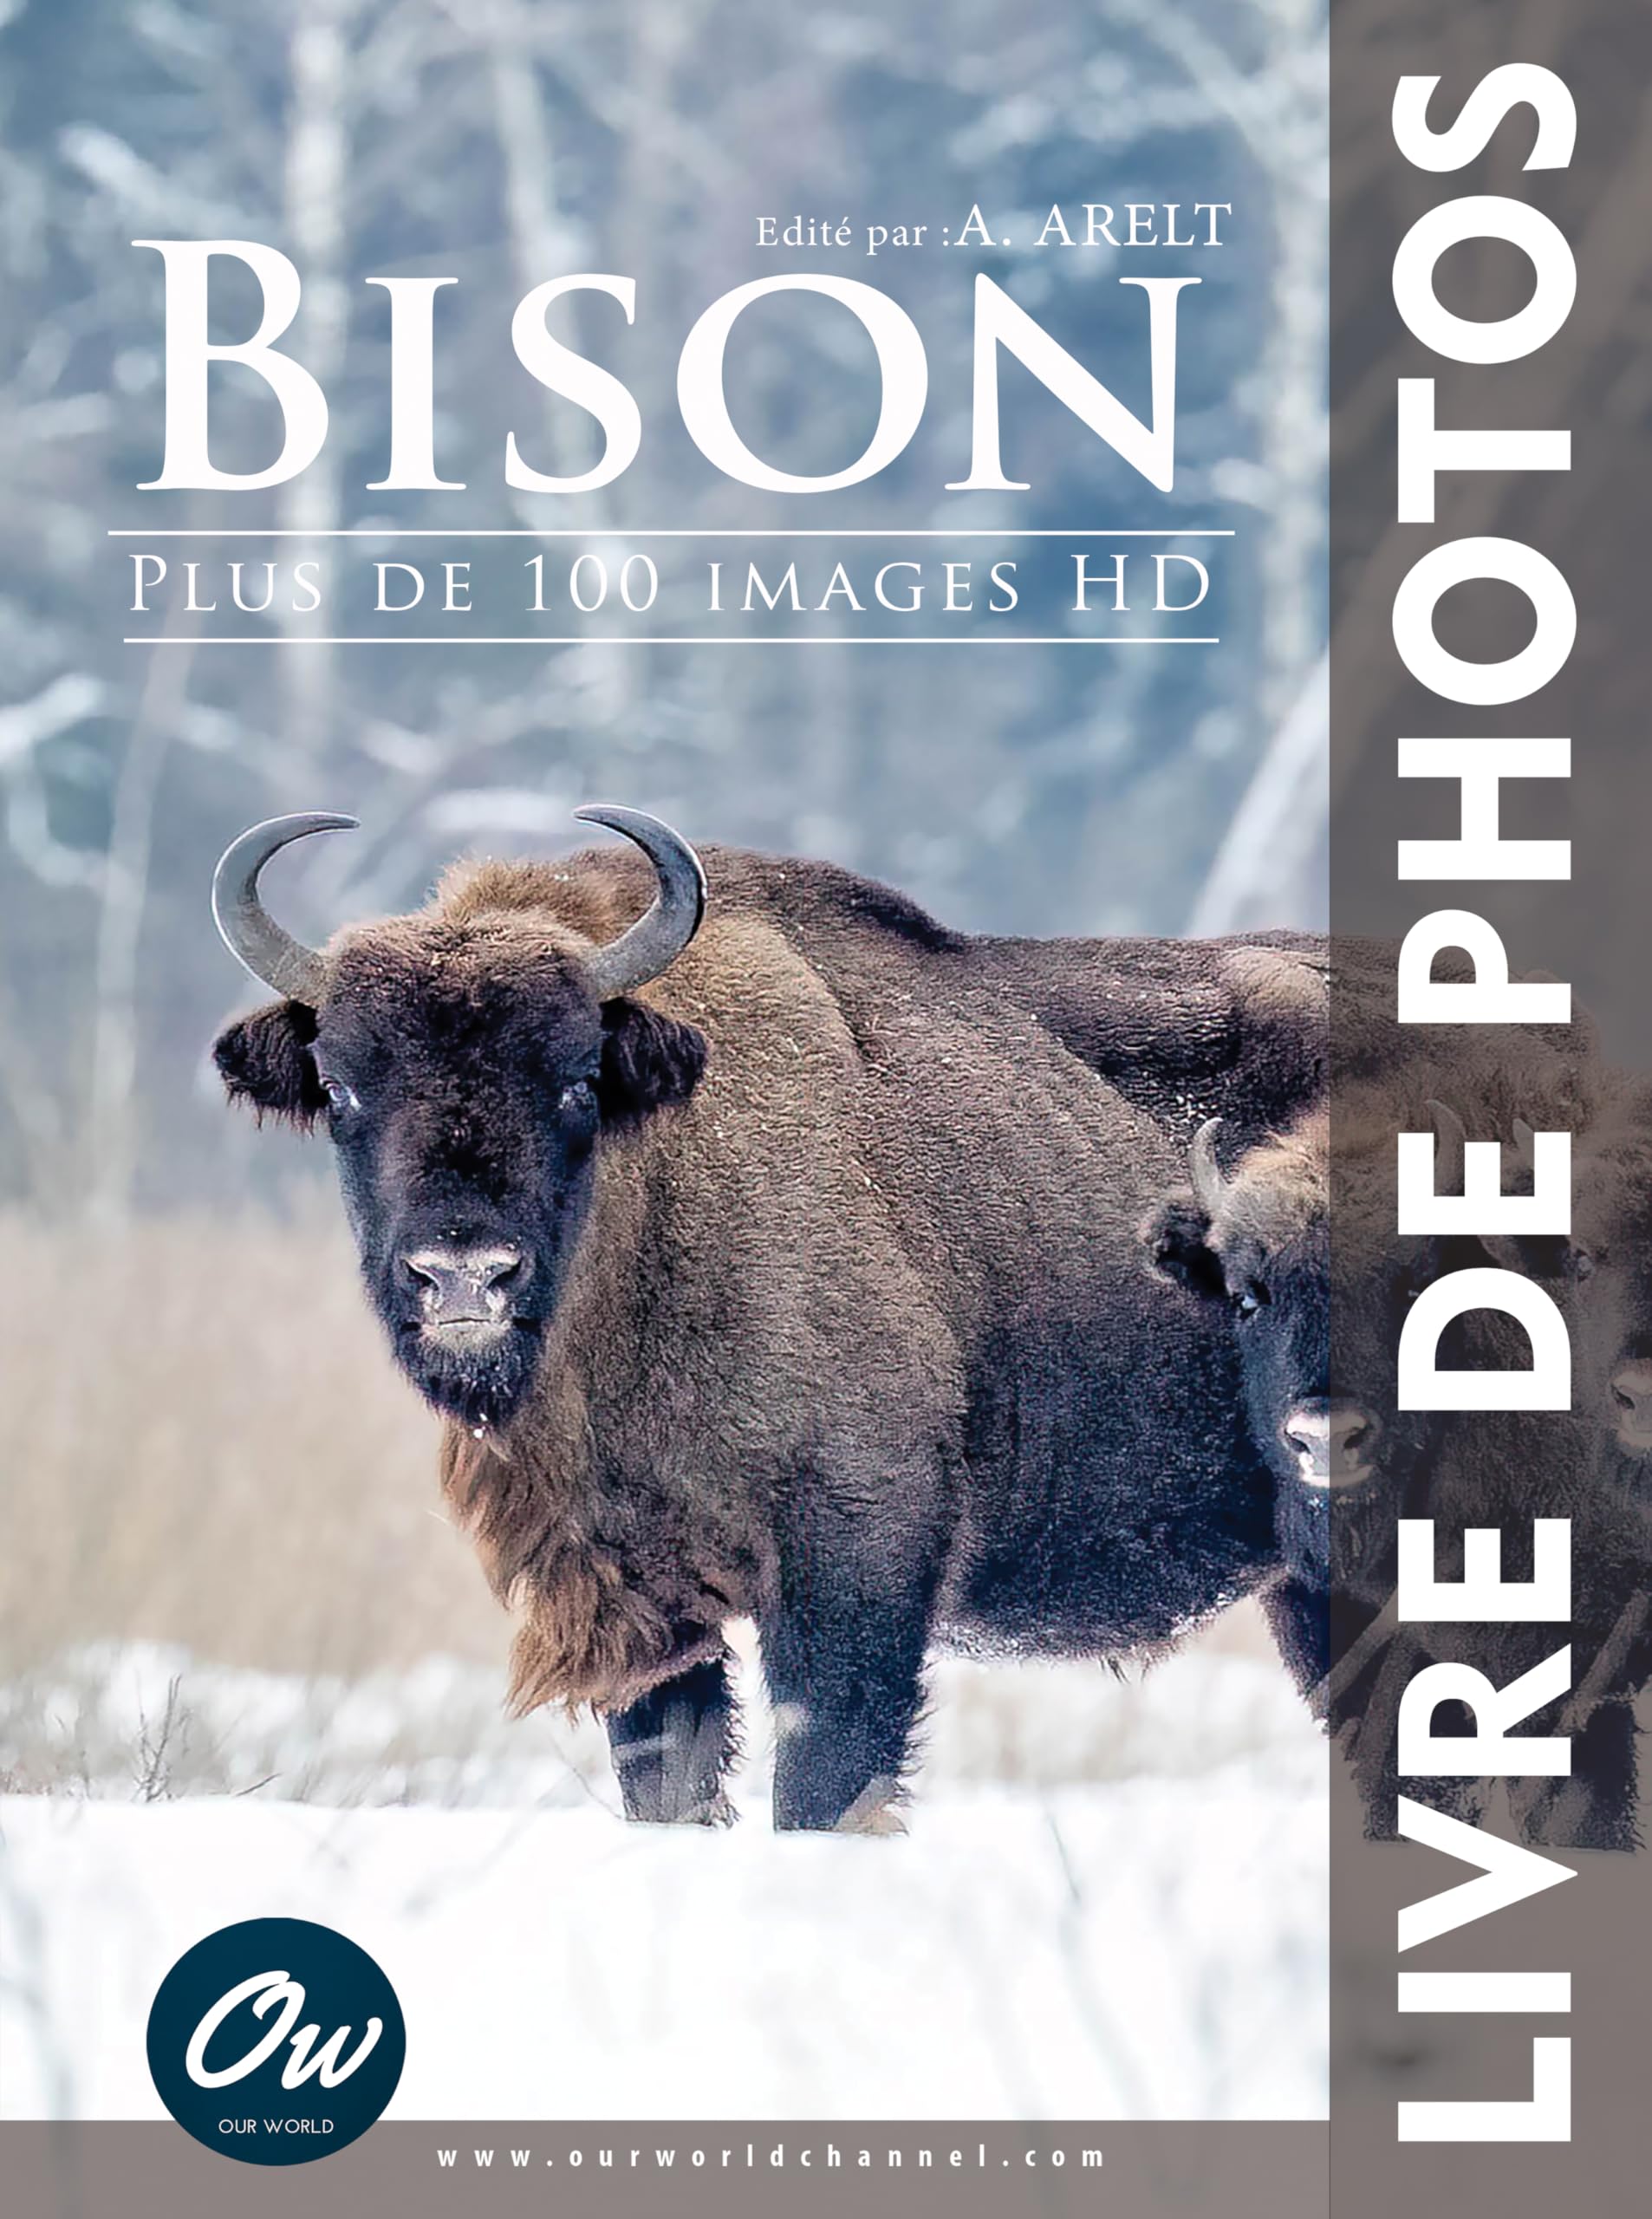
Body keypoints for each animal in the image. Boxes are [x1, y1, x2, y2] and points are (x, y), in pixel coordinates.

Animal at [212, 804, 1326, 1831]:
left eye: (577, 1077)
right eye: (342, 1086)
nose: (462, 1274)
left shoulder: (853, 1556)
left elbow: (820, 1785)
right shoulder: (642, 1599)